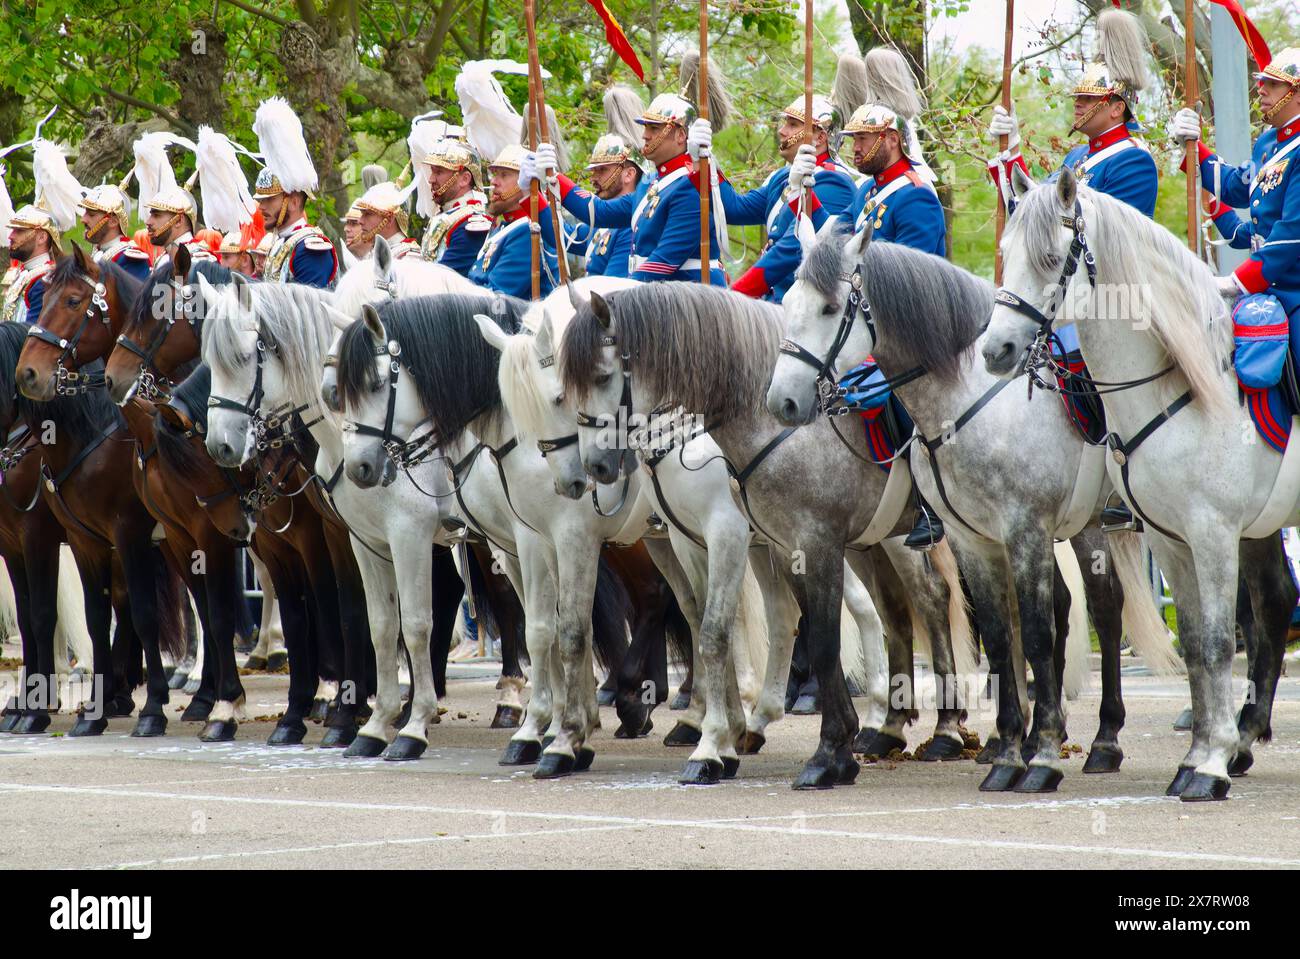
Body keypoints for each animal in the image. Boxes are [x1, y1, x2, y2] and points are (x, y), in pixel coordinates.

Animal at [982, 167, 1300, 795]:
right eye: (1004, 252)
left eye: (1051, 259)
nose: (996, 350)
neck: (1182, 382)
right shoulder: (1169, 538)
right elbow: (1199, 644)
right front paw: (1202, 755)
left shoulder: (1212, 533)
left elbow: (1220, 640)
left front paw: (1209, 765)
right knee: (1276, 604)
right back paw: (1247, 738)